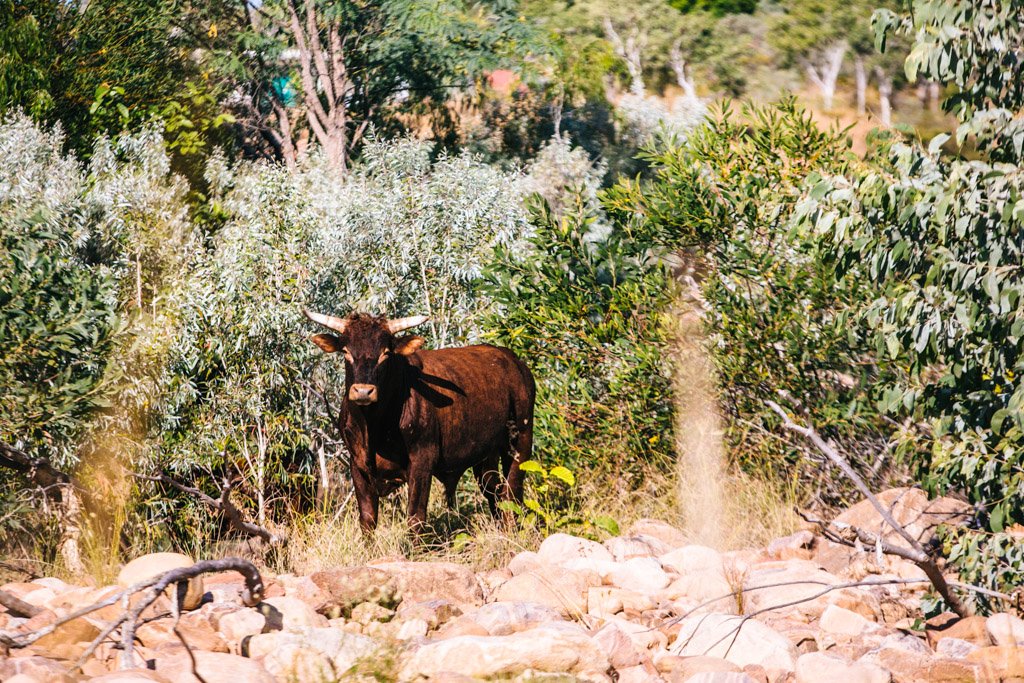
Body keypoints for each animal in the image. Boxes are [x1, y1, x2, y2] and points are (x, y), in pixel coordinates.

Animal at [303, 309, 536, 532]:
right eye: (346, 351)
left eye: (385, 353)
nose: (363, 391)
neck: (373, 429)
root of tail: (515, 362)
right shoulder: (357, 464)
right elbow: (368, 520)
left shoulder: (422, 460)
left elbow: (415, 517)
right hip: (486, 456)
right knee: (494, 493)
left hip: (520, 442)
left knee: (512, 494)